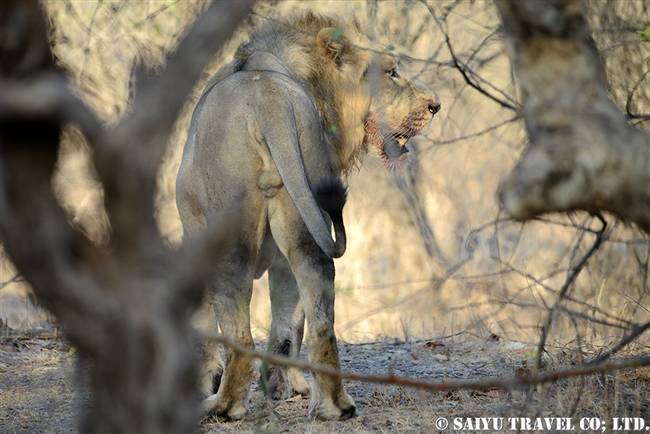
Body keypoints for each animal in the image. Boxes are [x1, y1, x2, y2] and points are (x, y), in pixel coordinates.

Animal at [176, 12, 440, 420]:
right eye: (392, 72)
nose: (436, 105)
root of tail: (269, 103)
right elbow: (291, 319)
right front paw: (286, 387)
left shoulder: (194, 228)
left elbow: (203, 315)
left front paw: (208, 378)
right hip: (305, 219)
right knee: (316, 318)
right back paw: (332, 405)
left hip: (230, 236)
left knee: (240, 332)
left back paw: (223, 406)